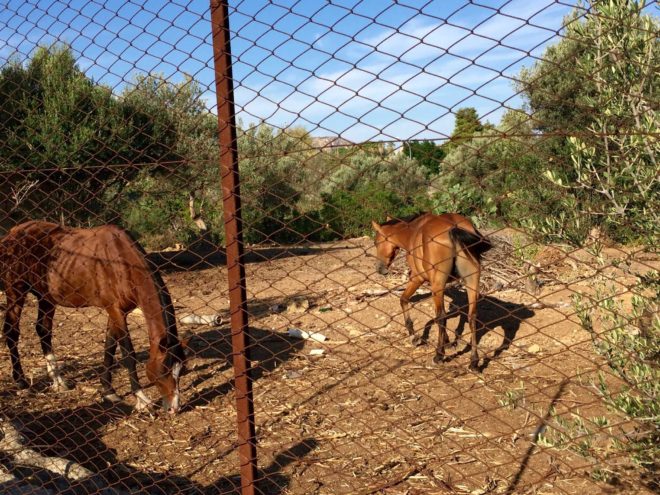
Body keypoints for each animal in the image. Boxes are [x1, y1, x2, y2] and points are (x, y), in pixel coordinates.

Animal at [0, 222, 187, 414]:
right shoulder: (115, 310)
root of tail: (12, 234)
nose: (174, 408)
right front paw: (142, 399)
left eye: (180, 370)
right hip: (16, 292)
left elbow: (109, 346)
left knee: (43, 330)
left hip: (46, 297)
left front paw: (108, 391)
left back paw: (58, 381)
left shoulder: (117, 312)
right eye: (164, 371)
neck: (122, 262)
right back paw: (21, 381)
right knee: (11, 331)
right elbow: (128, 354)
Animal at [372, 213, 490, 372]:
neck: (413, 232)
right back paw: (474, 362)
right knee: (472, 318)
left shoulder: (417, 278)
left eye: (376, 242)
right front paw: (447, 341)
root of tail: (454, 228)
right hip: (472, 282)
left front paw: (414, 337)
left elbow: (404, 300)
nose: (379, 268)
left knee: (442, 317)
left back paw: (439, 355)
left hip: (437, 284)